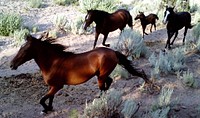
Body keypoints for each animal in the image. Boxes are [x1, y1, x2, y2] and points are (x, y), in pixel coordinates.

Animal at [9, 34, 150, 114]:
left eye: (24, 49)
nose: (11, 65)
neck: (52, 63)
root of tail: (113, 52)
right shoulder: (52, 86)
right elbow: (50, 98)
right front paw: (49, 108)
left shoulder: (57, 86)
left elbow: (42, 99)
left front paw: (46, 109)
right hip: (101, 74)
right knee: (108, 82)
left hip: (101, 76)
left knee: (104, 86)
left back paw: (100, 100)